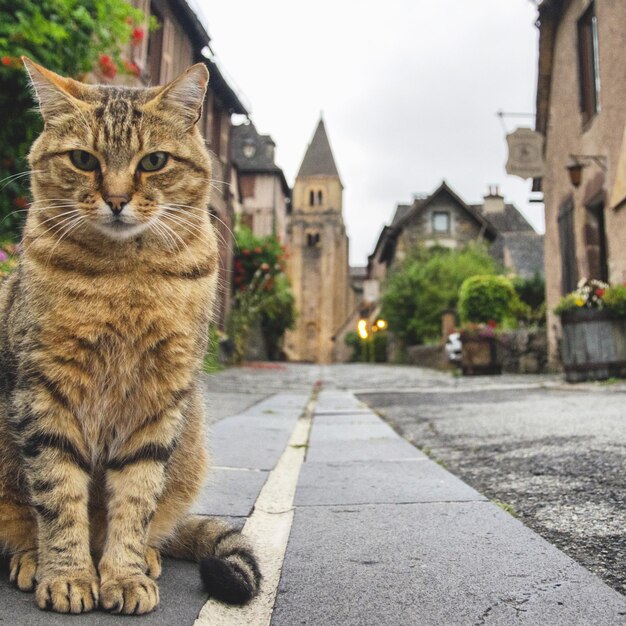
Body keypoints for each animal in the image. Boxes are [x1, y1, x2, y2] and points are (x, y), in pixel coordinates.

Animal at [0, 59, 260, 616]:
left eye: (154, 162)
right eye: (83, 159)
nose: (117, 200)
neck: (125, 276)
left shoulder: (158, 398)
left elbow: (136, 498)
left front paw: (123, 574)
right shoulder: (46, 391)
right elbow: (58, 495)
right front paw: (68, 575)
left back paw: (148, 558)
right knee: (23, 522)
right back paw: (32, 560)